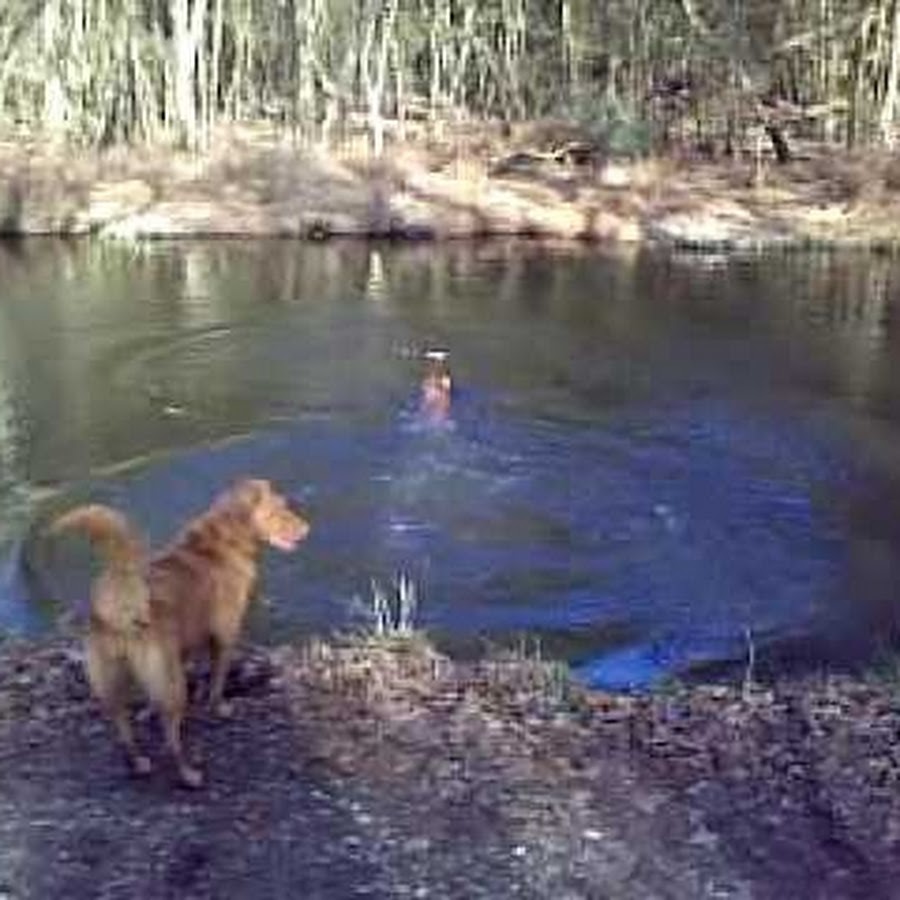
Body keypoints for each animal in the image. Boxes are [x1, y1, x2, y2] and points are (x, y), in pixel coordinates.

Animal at [50, 478, 310, 787]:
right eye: (279, 509)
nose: (307, 528)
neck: (222, 542)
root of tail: (120, 604)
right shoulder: (224, 637)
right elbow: (217, 681)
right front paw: (218, 707)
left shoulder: (181, 648)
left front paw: (152, 711)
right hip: (172, 686)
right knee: (170, 742)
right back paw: (188, 774)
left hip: (117, 681)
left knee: (124, 731)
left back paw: (138, 762)